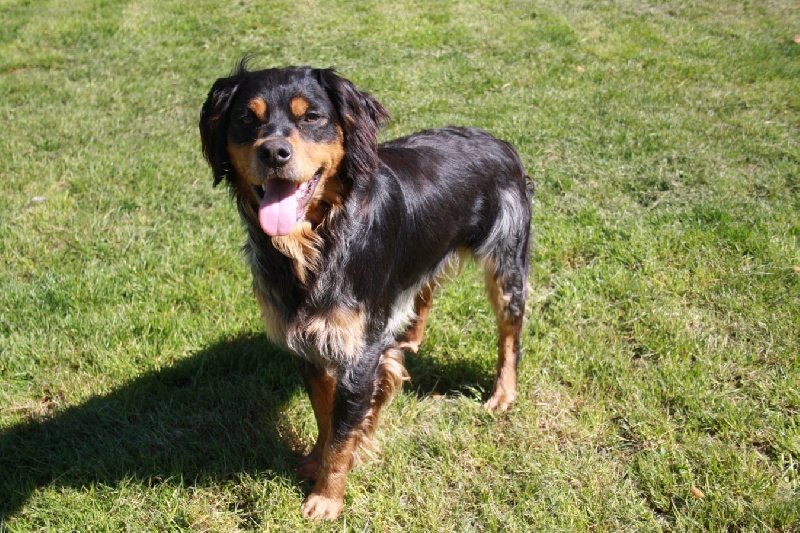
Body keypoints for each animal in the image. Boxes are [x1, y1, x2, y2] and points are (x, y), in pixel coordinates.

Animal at [199, 61, 532, 520]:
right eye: (247, 119)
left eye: (312, 117)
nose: (273, 153)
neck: (318, 240)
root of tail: (500, 142)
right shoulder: (307, 342)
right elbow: (325, 416)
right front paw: (316, 460)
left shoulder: (358, 350)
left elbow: (343, 433)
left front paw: (326, 498)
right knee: (425, 290)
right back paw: (409, 339)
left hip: (507, 264)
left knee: (509, 335)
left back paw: (503, 393)